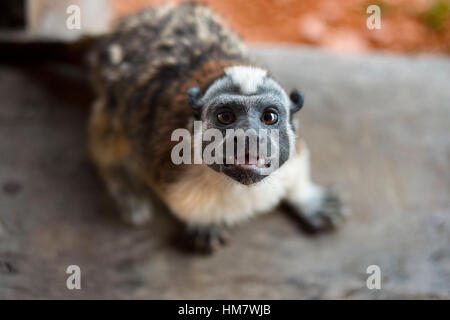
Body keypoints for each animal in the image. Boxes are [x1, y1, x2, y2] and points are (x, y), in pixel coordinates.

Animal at [86, 1, 344, 252]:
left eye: (269, 117)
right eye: (226, 117)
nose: (250, 136)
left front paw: (307, 199)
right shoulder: (163, 160)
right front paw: (204, 224)